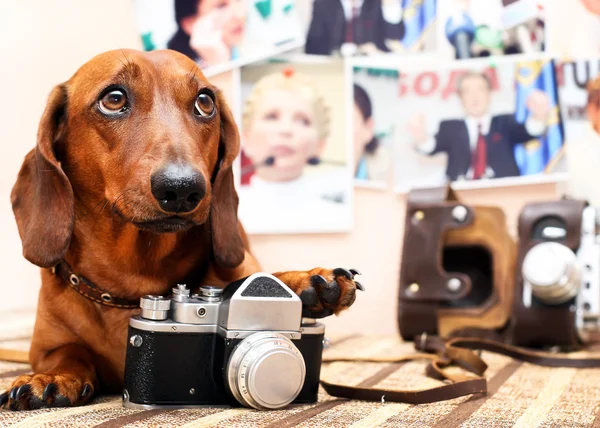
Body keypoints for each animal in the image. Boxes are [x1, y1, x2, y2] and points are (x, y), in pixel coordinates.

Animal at [3, 49, 360, 412]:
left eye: (205, 102)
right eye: (114, 99)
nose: (182, 188)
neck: (135, 283)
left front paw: (307, 281)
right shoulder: (45, 346)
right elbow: (67, 352)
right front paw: (51, 376)